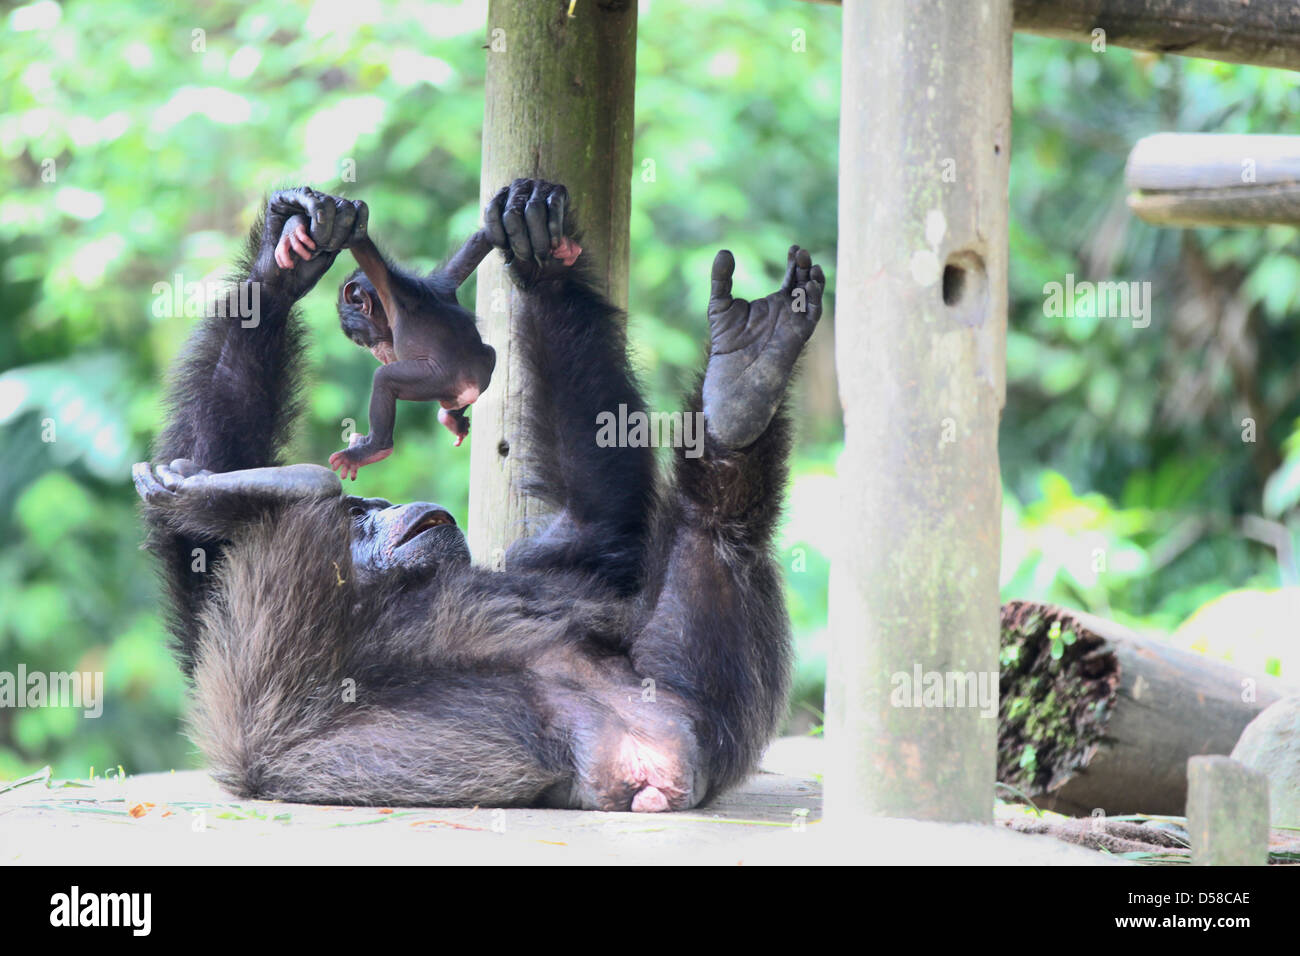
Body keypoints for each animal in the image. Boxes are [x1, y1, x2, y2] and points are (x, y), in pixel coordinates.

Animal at [131, 178, 821, 806]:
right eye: (361, 515)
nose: (380, 506)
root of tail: (664, 761)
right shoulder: (252, 638)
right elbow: (213, 563)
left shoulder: (545, 560)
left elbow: (597, 520)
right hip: (710, 707)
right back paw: (744, 380)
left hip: (707, 697)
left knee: (712, 530)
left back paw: (742, 380)